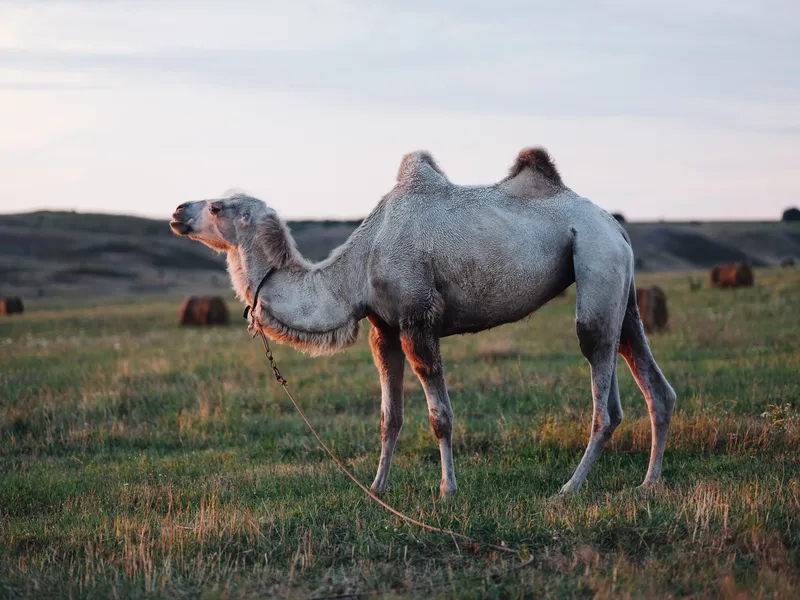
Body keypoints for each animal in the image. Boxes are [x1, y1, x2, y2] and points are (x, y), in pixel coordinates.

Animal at [170, 147, 676, 498]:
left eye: (217, 207)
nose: (177, 211)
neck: (355, 271)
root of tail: (614, 225)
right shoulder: (384, 330)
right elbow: (388, 417)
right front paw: (377, 488)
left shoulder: (417, 320)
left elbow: (440, 417)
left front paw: (447, 490)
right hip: (621, 289)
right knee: (651, 382)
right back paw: (648, 484)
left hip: (596, 261)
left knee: (602, 391)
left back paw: (568, 489)